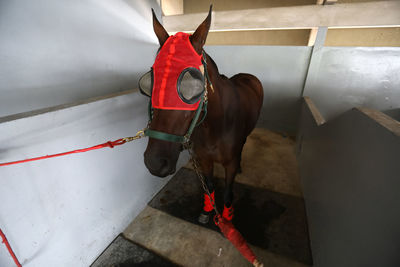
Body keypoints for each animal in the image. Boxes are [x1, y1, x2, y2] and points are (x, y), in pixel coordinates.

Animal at [142, 6, 264, 224]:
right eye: (152, 79)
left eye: (193, 85)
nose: (155, 162)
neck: (214, 127)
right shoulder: (204, 160)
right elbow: (209, 187)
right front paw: (208, 211)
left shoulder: (229, 164)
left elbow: (228, 192)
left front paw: (226, 218)